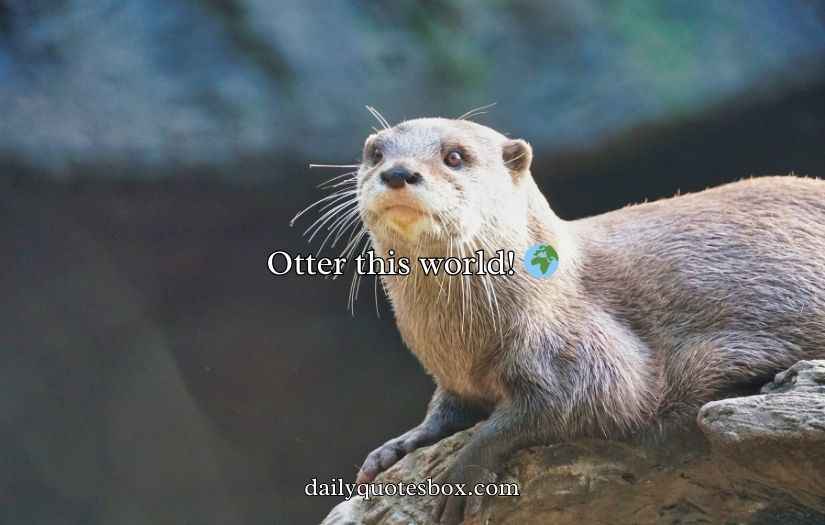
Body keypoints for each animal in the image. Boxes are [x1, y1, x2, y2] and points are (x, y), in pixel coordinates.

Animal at [324, 117, 825, 524]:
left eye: (455, 156)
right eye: (376, 153)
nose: (398, 172)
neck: (462, 345)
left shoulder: (580, 348)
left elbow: (580, 401)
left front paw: (463, 470)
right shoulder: (454, 378)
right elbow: (446, 410)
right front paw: (399, 446)